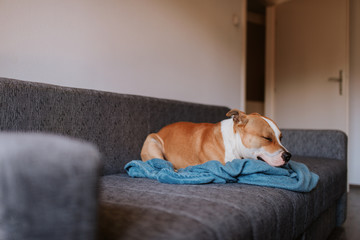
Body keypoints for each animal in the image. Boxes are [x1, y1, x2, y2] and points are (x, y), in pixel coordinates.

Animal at [141, 109, 292, 170]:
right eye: (267, 138)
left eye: (281, 138)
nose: (288, 156)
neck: (233, 142)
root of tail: (160, 130)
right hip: (152, 141)